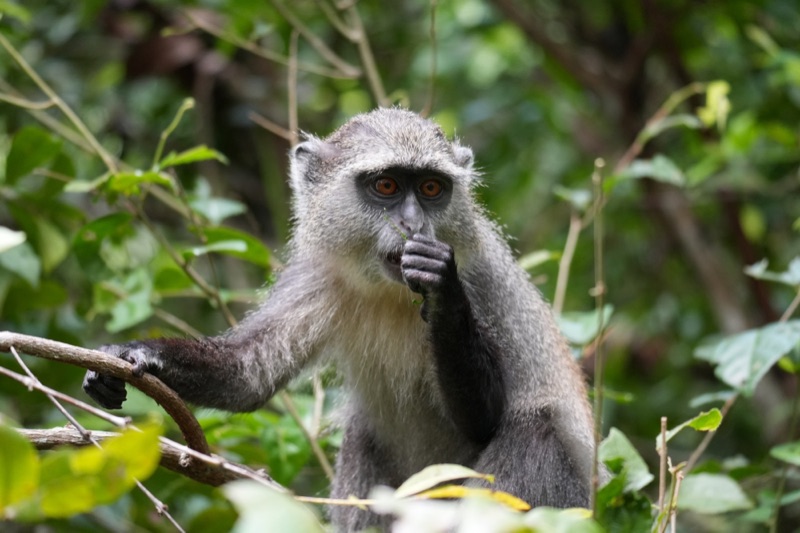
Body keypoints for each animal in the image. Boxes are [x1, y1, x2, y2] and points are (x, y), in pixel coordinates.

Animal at [83, 108, 597, 531]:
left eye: (431, 188)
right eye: (387, 185)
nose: (413, 226)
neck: (390, 293)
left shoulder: (482, 280)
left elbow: (486, 418)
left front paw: (442, 289)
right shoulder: (317, 277)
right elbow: (246, 373)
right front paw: (133, 355)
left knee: (539, 432)